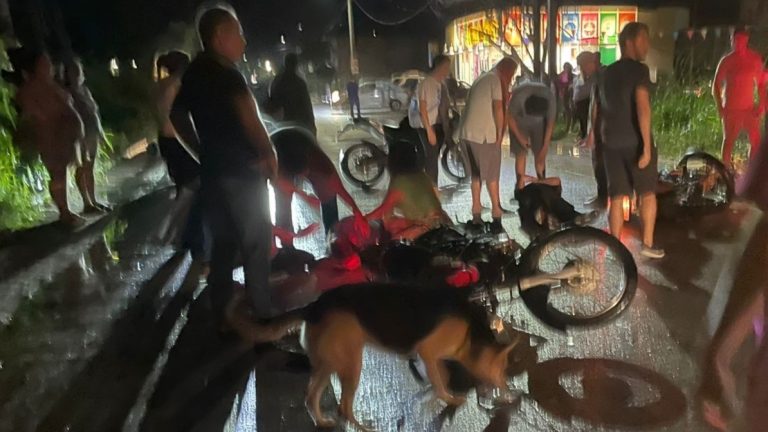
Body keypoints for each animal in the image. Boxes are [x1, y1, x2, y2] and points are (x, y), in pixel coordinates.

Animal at [246, 282, 520, 426]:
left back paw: (322, 421)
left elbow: (440, 376)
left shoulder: (428, 357)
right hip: (352, 364)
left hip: (329, 364)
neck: (471, 332)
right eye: (503, 368)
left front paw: (432, 393)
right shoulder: (428, 351)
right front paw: (449, 398)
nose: (512, 395)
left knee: (311, 397)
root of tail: (312, 306)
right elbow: (441, 382)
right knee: (344, 407)